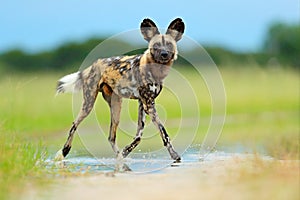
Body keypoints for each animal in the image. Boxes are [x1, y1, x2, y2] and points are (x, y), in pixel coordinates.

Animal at [54, 17, 184, 161]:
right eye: (156, 46)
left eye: (169, 45)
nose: (164, 54)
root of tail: (94, 64)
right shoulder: (149, 105)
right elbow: (163, 132)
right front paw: (174, 155)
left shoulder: (143, 104)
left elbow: (138, 136)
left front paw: (126, 151)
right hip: (88, 105)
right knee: (73, 126)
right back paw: (64, 151)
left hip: (116, 108)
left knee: (111, 137)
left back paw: (119, 157)